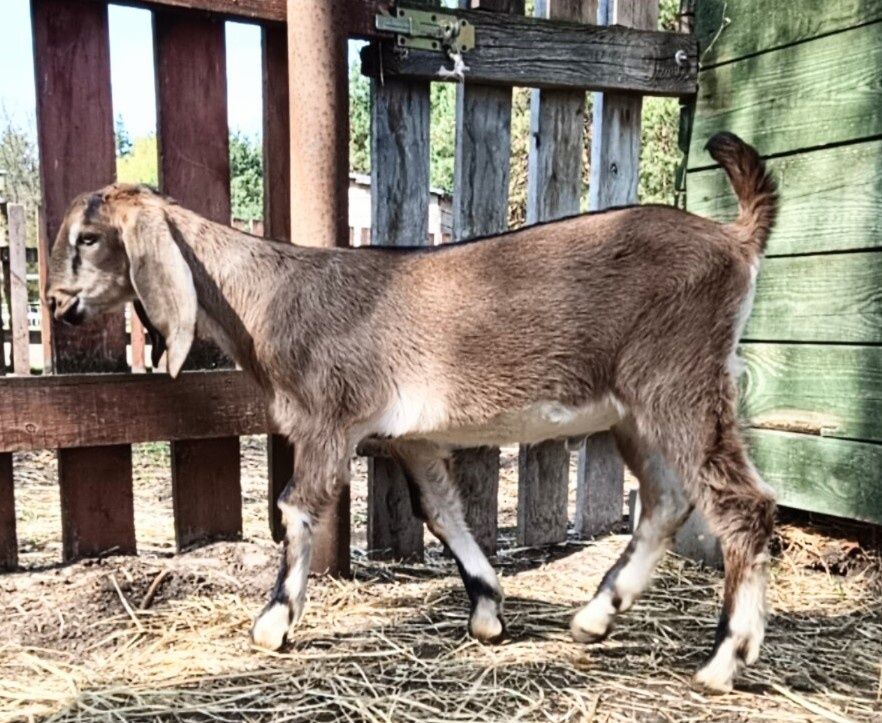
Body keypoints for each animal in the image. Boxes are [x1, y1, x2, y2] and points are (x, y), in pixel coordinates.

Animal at [48, 133, 776, 692]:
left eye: (89, 237)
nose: (56, 305)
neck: (272, 296)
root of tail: (736, 239)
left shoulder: (327, 419)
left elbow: (297, 507)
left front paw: (272, 625)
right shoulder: (412, 438)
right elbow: (441, 510)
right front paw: (487, 610)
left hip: (679, 381)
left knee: (744, 503)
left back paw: (722, 661)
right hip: (635, 410)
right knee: (667, 500)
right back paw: (595, 616)